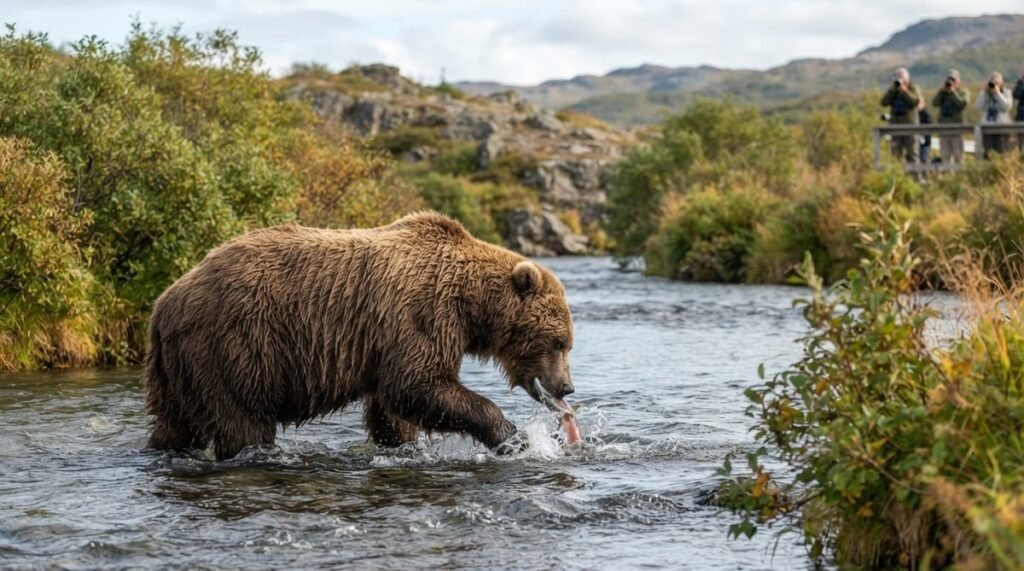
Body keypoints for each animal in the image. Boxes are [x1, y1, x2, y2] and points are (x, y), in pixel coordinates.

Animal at [144, 211, 575, 459]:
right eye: (559, 342)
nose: (567, 387)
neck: (468, 304)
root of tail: (164, 303)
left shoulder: (389, 339)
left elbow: (392, 407)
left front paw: (402, 444)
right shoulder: (419, 315)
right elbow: (418, 384)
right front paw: (514, 437)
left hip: (176, 367)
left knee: (173, 423)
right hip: (235, 347)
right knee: (242, 419)